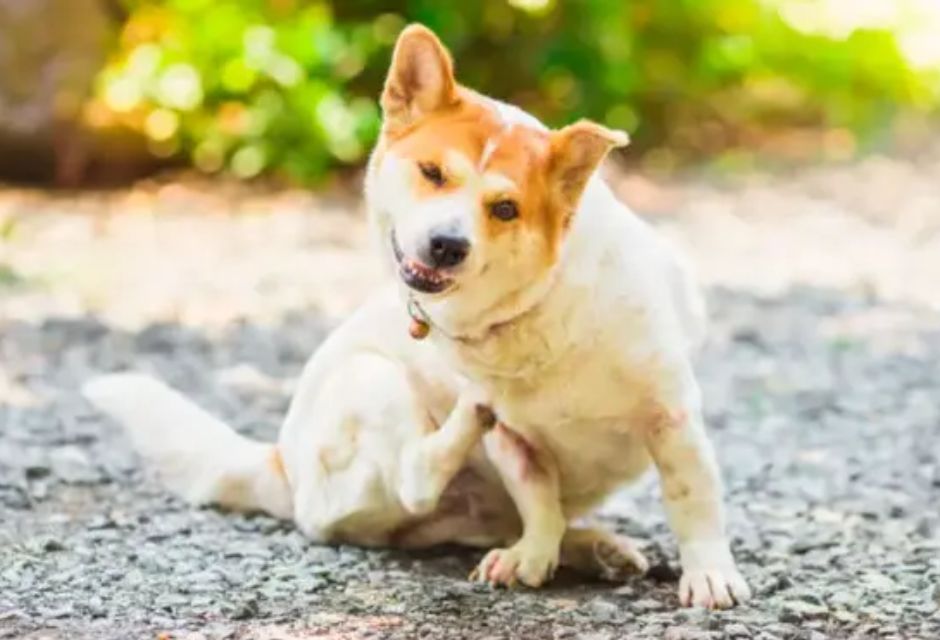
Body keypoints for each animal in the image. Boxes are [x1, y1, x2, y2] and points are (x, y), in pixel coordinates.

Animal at [84, 22, 752, 608]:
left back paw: (591, 547)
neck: (536, 309)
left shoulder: (671, 416)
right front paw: (534, 553)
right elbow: (537, 496)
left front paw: (708, 573)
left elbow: (692, 498)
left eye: (505, 208)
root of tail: (280, 465)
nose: (446, 245)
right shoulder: (514, 442)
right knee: (417, 476)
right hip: (372, 380)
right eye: (432, 173)